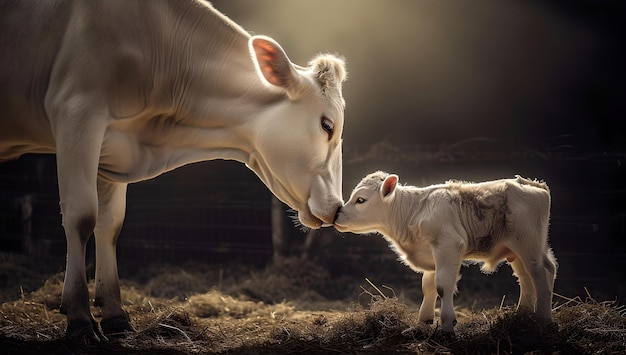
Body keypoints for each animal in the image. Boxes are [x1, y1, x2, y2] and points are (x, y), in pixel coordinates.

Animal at [0, 0, 346, 344]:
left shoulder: (111, 148)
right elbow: (81, 216)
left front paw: (115, 315)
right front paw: (81, 319)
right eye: (327, 125)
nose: (336, 207)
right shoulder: (77, 112)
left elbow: (109, 224)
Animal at [336, 172, 556, 334]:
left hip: (528, 243)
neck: (413, 212)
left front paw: (448, 326)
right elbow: (428, 286)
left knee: (540, 274)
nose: (337, 213)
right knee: (528, 277)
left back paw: (543, 319)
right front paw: (423, 322)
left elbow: (443, 286)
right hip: (517, 250)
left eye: (360, 200)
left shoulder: (448, 245)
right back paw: (522, 316)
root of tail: (532, 184)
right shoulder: (431, 254)